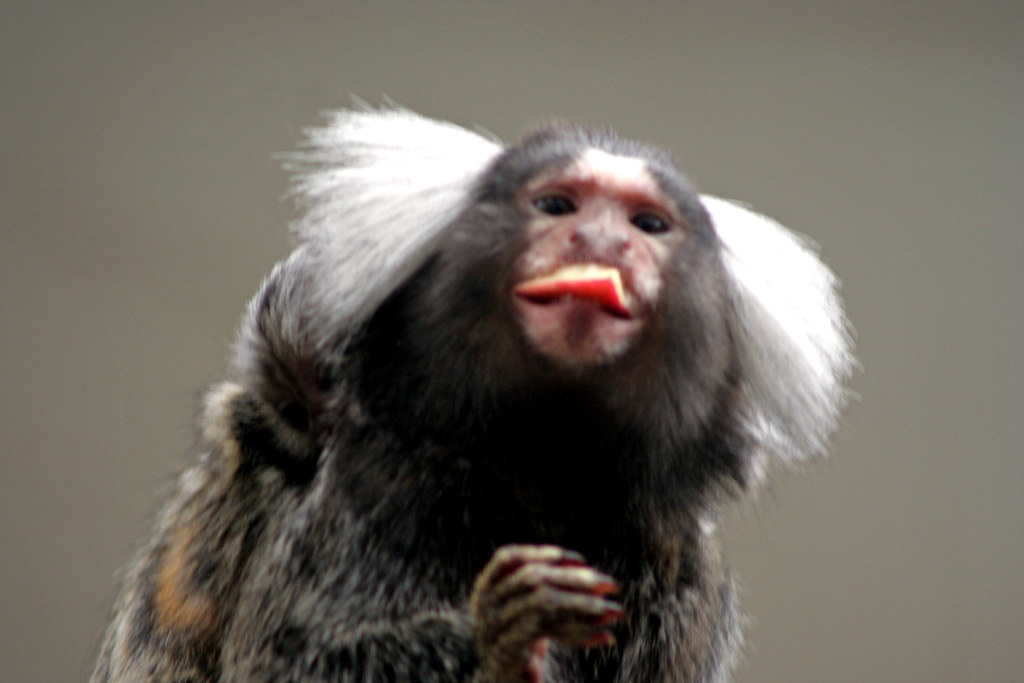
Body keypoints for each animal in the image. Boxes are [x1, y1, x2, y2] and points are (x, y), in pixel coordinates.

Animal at [91, 107, 853, 683]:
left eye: (647, 225)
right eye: (557, 206)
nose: (600, 241)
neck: (536, 467)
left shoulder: (682, 571)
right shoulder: (364, 492)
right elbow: (285, 663)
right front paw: (498, 643)